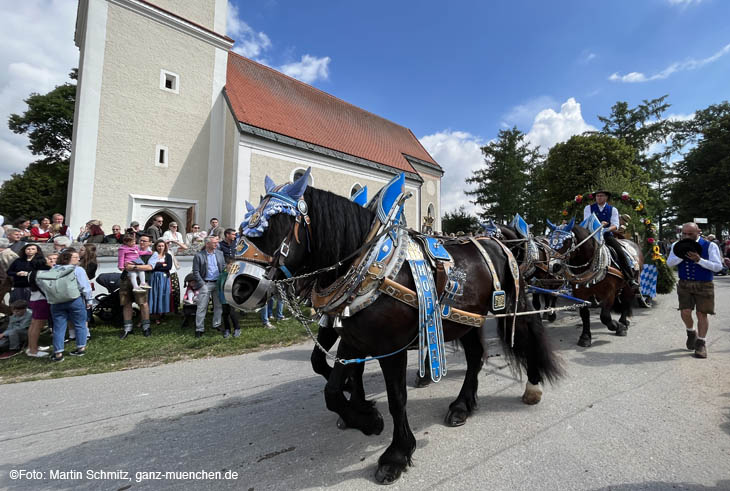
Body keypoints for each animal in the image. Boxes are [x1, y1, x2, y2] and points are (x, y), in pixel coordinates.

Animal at [240, 186, 564, 486]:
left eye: (275, 226)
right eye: (245, 226)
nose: (239, 287)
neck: (372, 267)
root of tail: (497, 242)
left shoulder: (390, 347)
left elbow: (396, 399)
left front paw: (396, 454)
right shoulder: (352, 338)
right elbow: (332, 386)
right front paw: (366, 418)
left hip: (510, 306)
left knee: (526, 338)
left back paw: (532, 387)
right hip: (465, 319)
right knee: (475, 357)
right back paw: (462, 405)